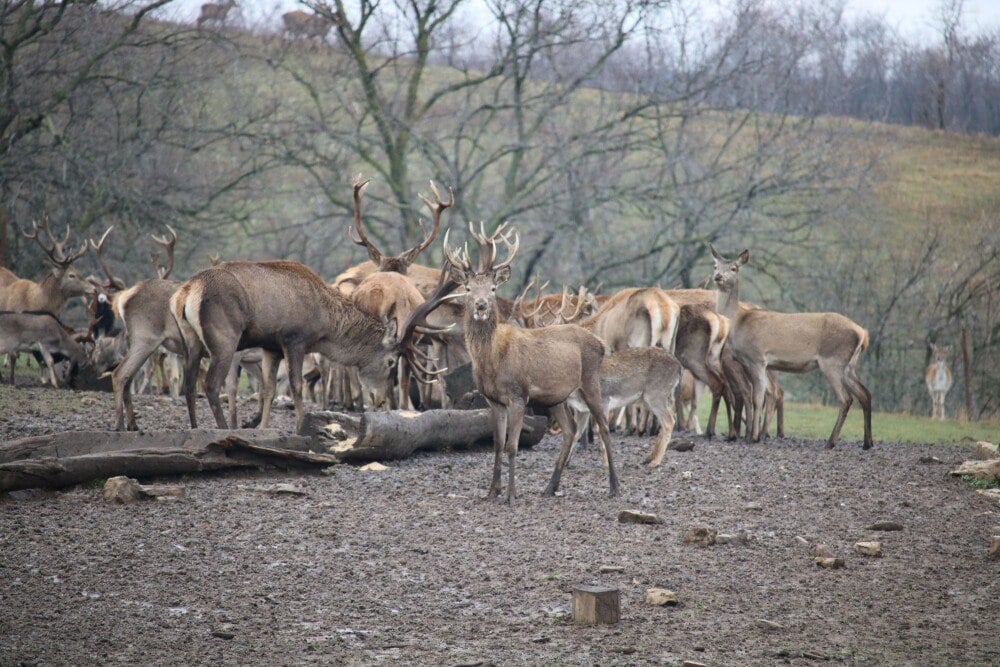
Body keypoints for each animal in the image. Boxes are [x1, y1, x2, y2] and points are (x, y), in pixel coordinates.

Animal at [444, 222, 620, 504]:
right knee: (570, 430)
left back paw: (614, 487)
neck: (492, 361)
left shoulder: (518, 395)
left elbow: (512, 446)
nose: (481, 306)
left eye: (493, 289)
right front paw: (491, 491)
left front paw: (511, 494)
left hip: (591, 380)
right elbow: (497, 445)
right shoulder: (493, 400)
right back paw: (550, 487)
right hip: (557, 397)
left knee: (604, 427)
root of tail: (601, 343)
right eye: (468, 289)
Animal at [708, 245, 872, 448]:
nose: (718, 276)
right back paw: (867, 442)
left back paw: (831, 442)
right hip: (848, 365)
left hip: (833, 360)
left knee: (846, 399)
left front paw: (753, 437)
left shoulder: (757, 358)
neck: (738, 320)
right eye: (715, 265)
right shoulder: (756, 363)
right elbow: (761, 395)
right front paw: (752, 435)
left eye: (734, 268)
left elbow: (757, 397)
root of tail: (863, 334)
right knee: (865, 394)